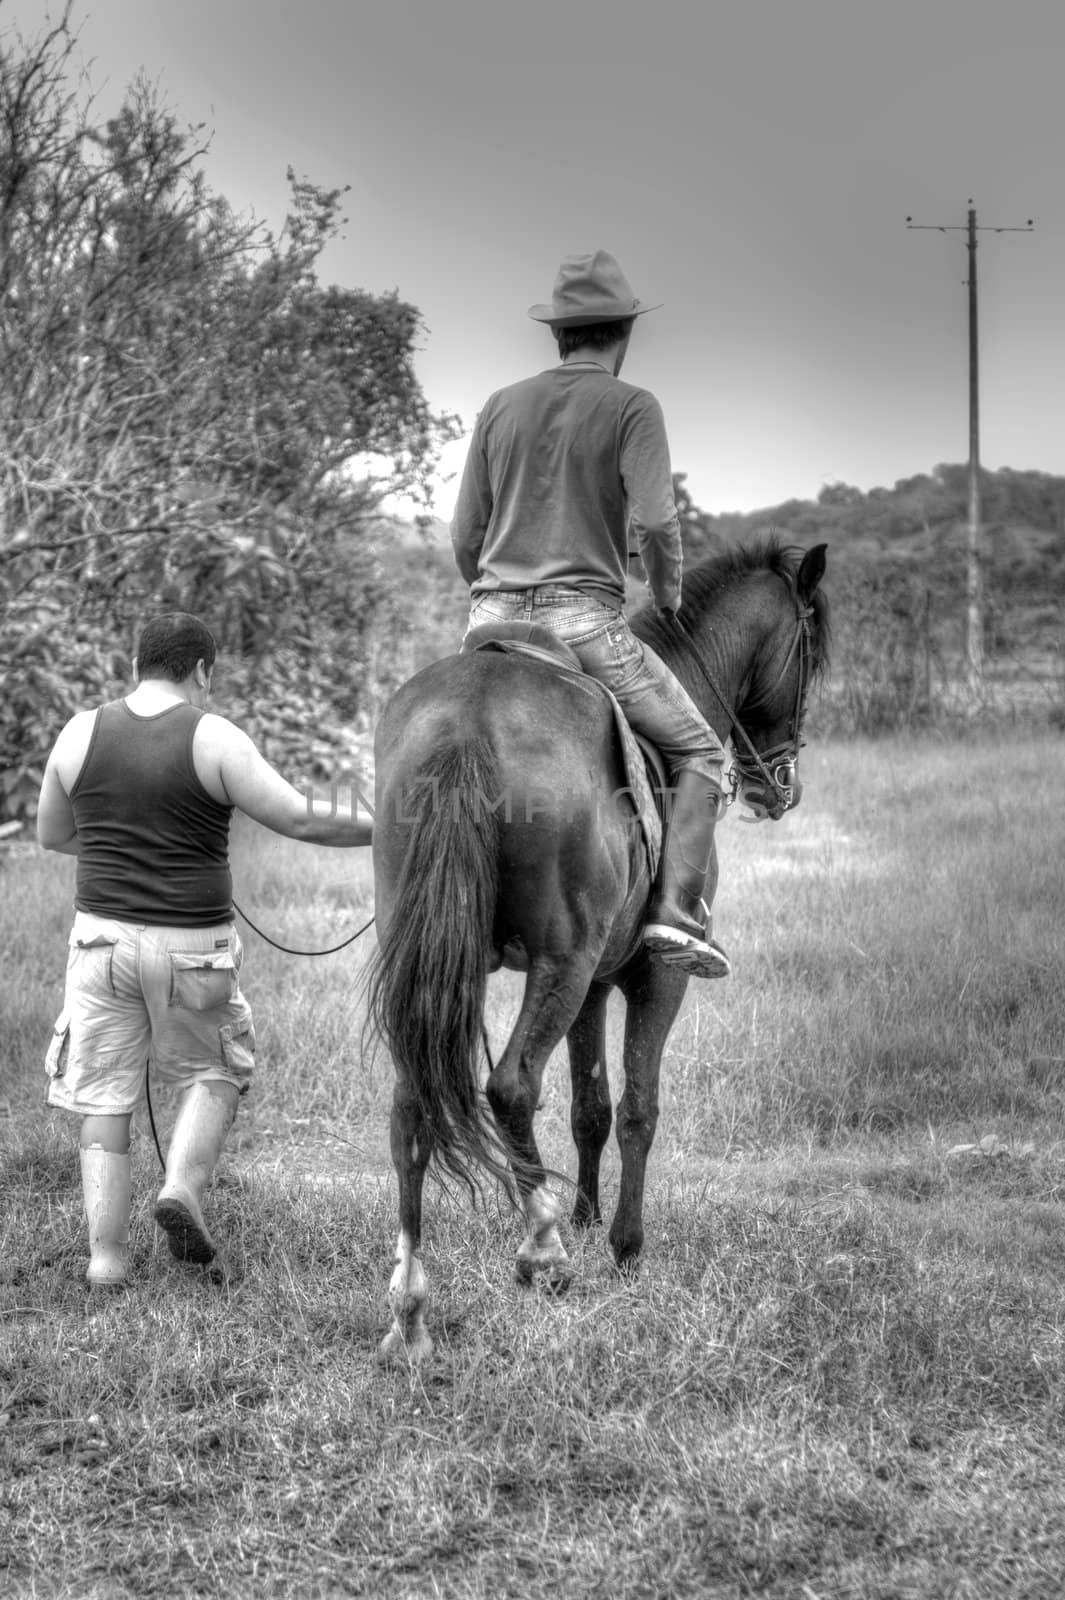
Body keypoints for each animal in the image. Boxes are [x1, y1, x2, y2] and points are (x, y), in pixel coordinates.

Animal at [367, 537, 831, 1363]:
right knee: (511, 1086)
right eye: (809, 653)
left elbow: (591, 1105)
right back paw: (542, 1252)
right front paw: (622, 1243)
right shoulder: (650, 976)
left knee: (412, 1103)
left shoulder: (592, 981)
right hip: (561, 960)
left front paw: (584, 1215)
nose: (780, 786)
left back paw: (412, 1304)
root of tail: (468, 715)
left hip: (454, 955)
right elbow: (639, 1106)